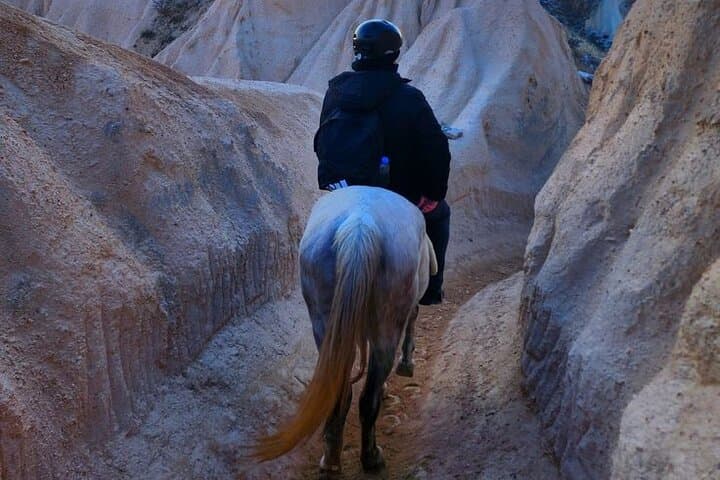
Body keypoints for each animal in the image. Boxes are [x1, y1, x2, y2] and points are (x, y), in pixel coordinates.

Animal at [253, 185, 437, 474]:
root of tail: (360, 225)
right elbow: (413, 319)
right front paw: (407, 365)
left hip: (324, 319)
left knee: (340, 390)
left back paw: (330, 460)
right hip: (387, 324)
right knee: (368, 397)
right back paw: (372, 457)